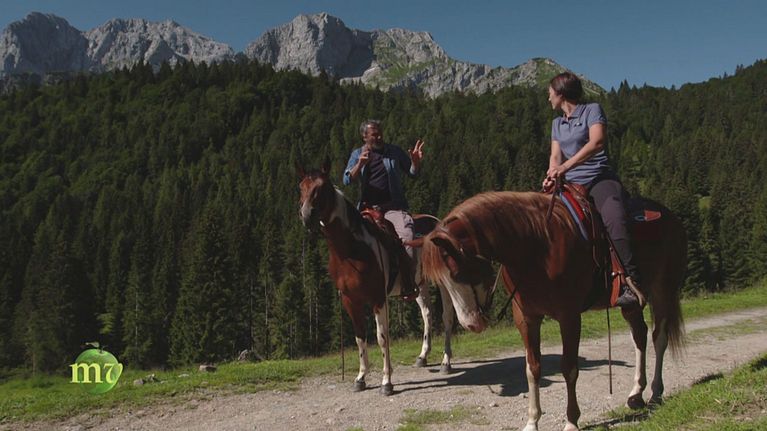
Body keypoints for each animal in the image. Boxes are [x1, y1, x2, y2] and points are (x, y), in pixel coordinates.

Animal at [297, 159, 458, 395]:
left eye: (322, 188)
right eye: (301, 187)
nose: (306, 215)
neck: (352, 249)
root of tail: (438, 223)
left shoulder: (378, 298)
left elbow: (382, 338)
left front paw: (386, 382)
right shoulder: (350, 300)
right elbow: (360, 338)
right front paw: (361, 378)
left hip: (444, 282)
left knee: (447, 316)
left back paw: (446, 362)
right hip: (420, 284)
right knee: (427, 313)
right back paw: (423, 356)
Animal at [421, 191, 686, 431]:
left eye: (457, 273)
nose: (471, 324)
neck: (536, 246)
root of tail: (669, 215)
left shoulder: (569, 316)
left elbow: (569, 368)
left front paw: (571, 421)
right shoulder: (526, 318)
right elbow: (532, 368)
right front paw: (532, 421)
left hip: (662, 288)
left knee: (659, 337)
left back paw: (656, 392)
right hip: (630, 303)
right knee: (639, 335)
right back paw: (636, 394)